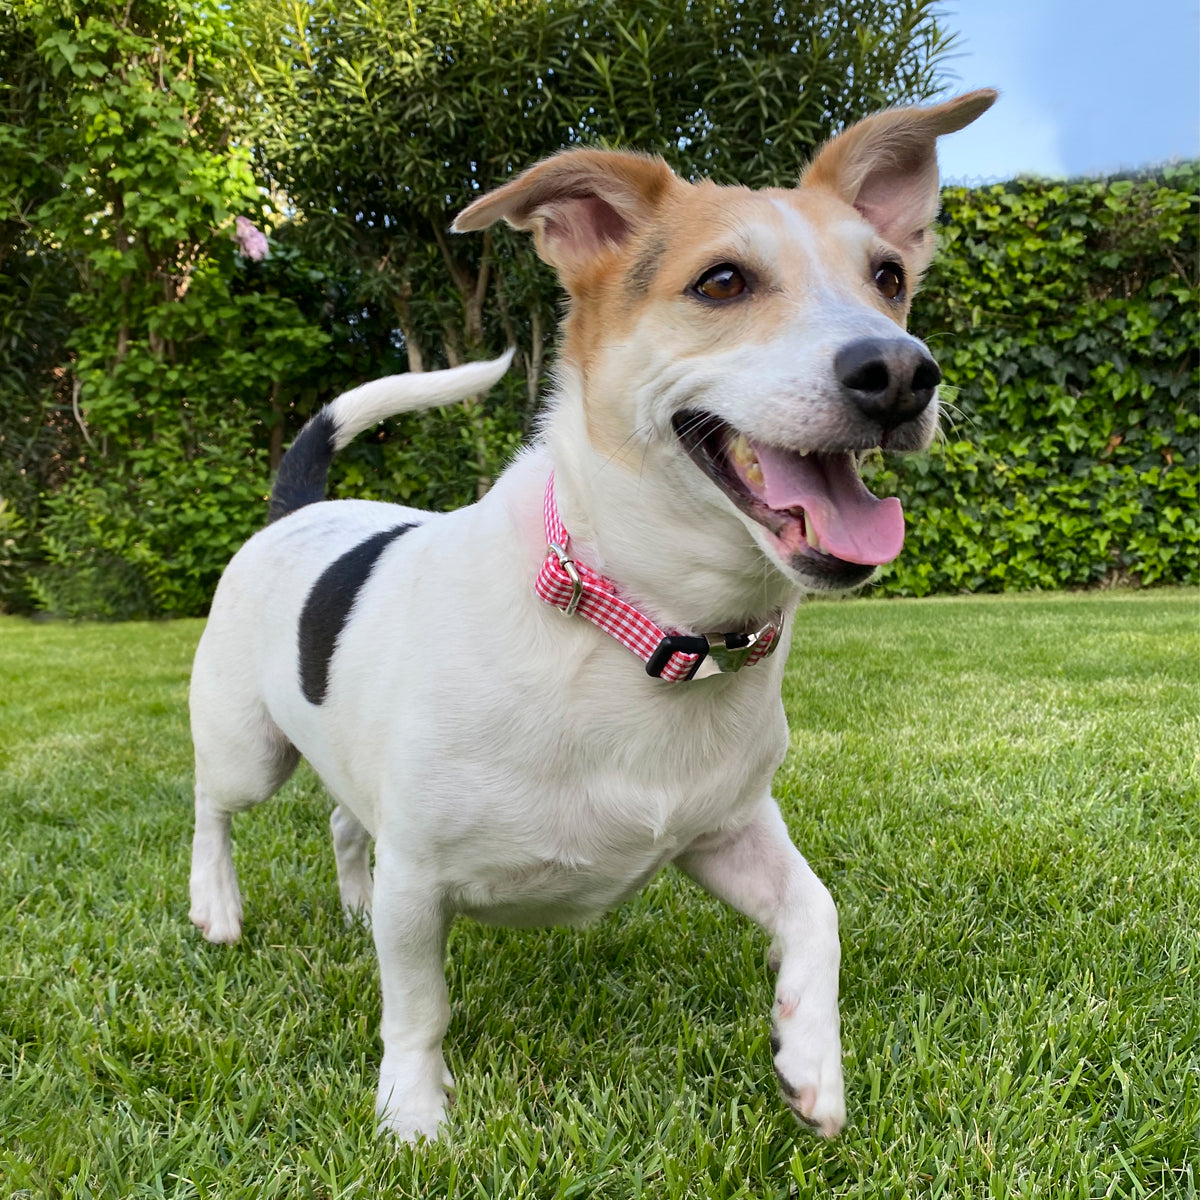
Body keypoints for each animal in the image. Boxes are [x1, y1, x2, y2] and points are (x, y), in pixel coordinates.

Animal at [184, 88, 993, 1137]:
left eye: (890, 277)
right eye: (722, 281)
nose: (900, 371)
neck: (647, 625)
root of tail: (298, 508)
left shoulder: (728, 831)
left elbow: (818, 913)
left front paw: (812, 1061)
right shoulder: (420, 881)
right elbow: (418, 1006)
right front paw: (413, 1113)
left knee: (343, 823)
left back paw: (345, 902)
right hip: (248, 746)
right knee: (212, 805)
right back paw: (215, 905)